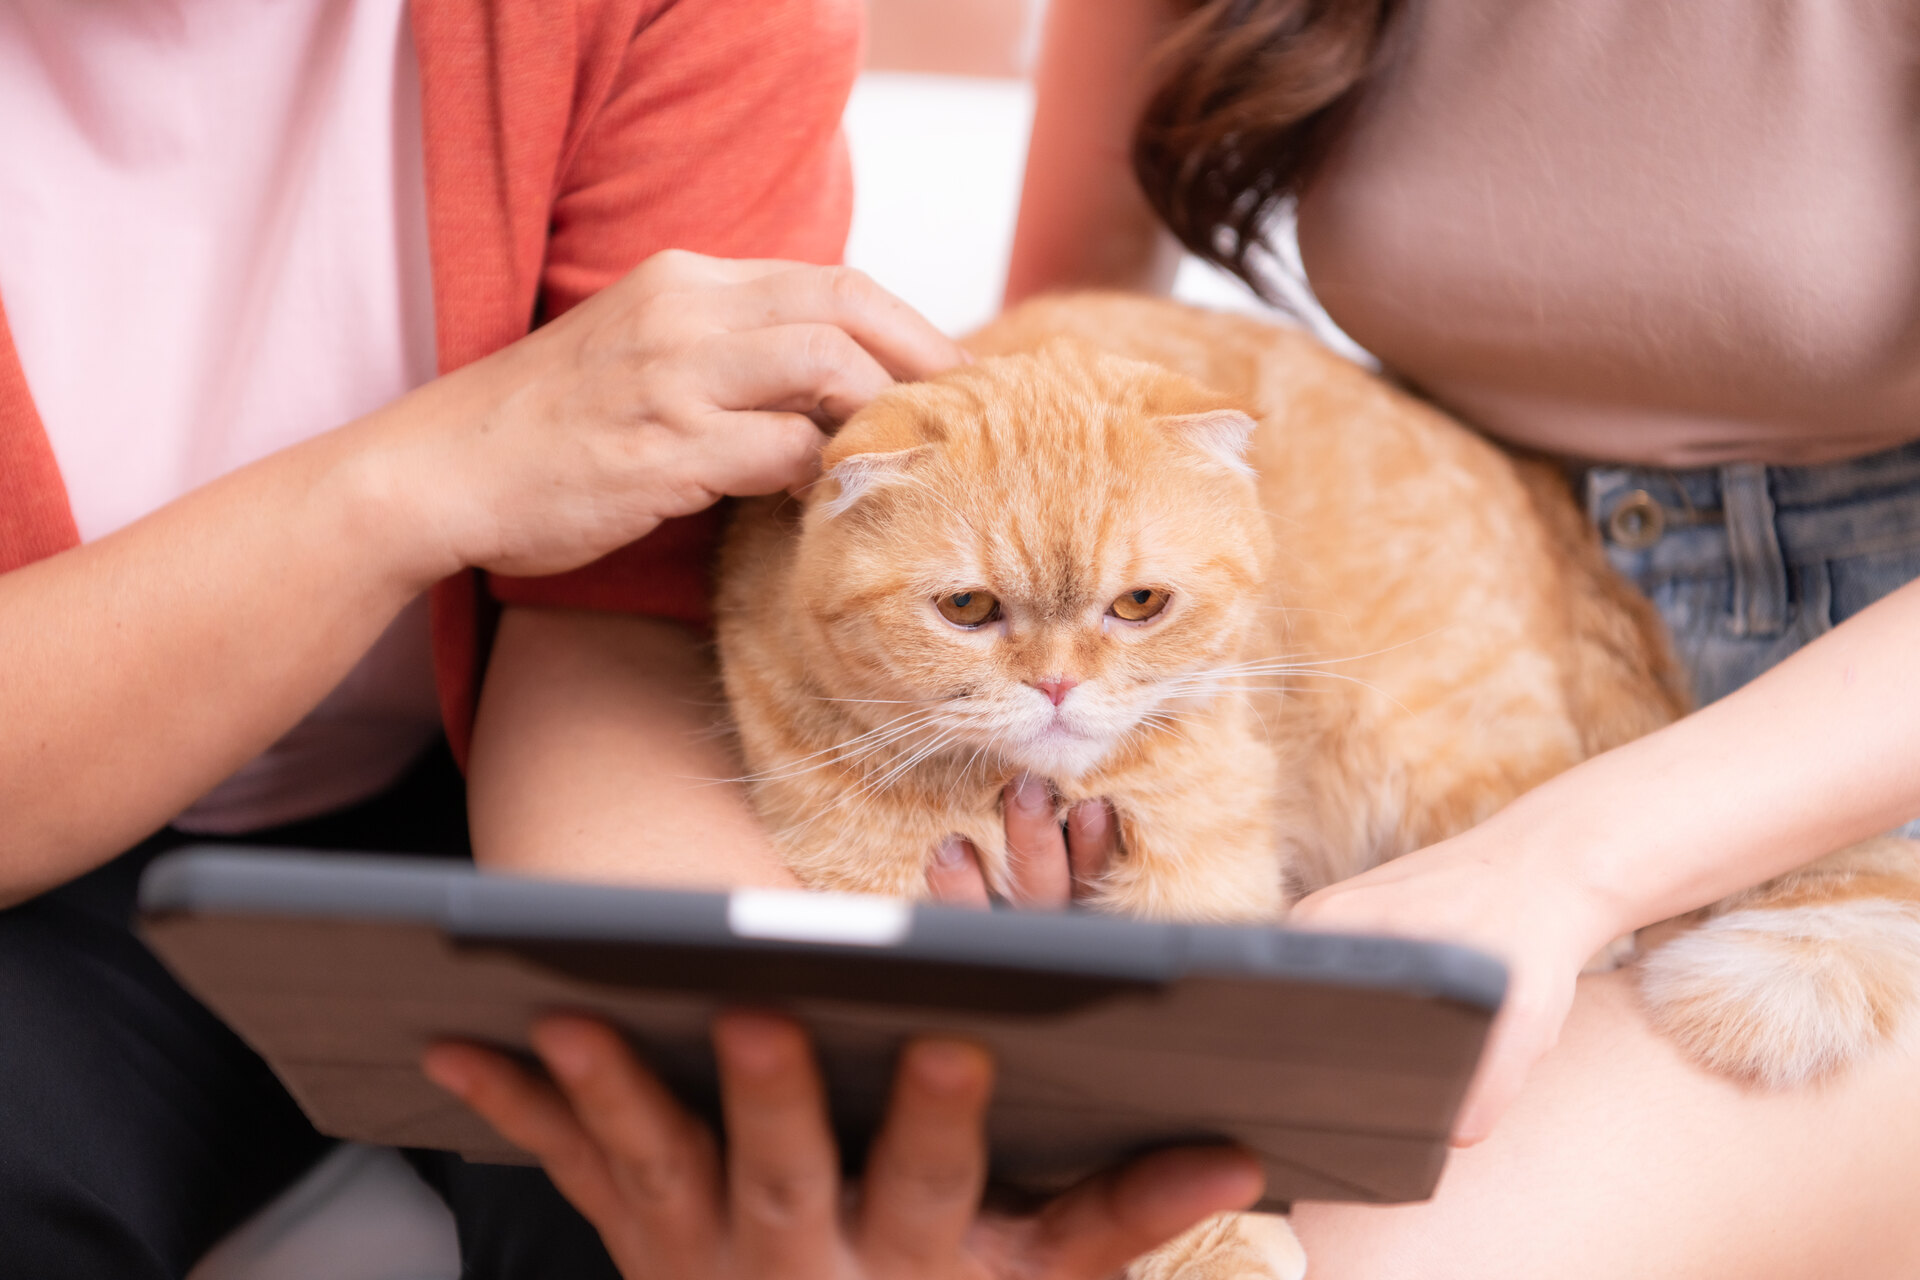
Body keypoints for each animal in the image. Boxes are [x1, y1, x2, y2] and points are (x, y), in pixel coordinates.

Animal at [714, 295, 1920, 1280]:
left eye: (1140, 603)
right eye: (966, 609)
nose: (1058, 687)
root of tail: (1541, 499)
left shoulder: (1200, 867)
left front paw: (1213, 1238)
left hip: (1440, 745)